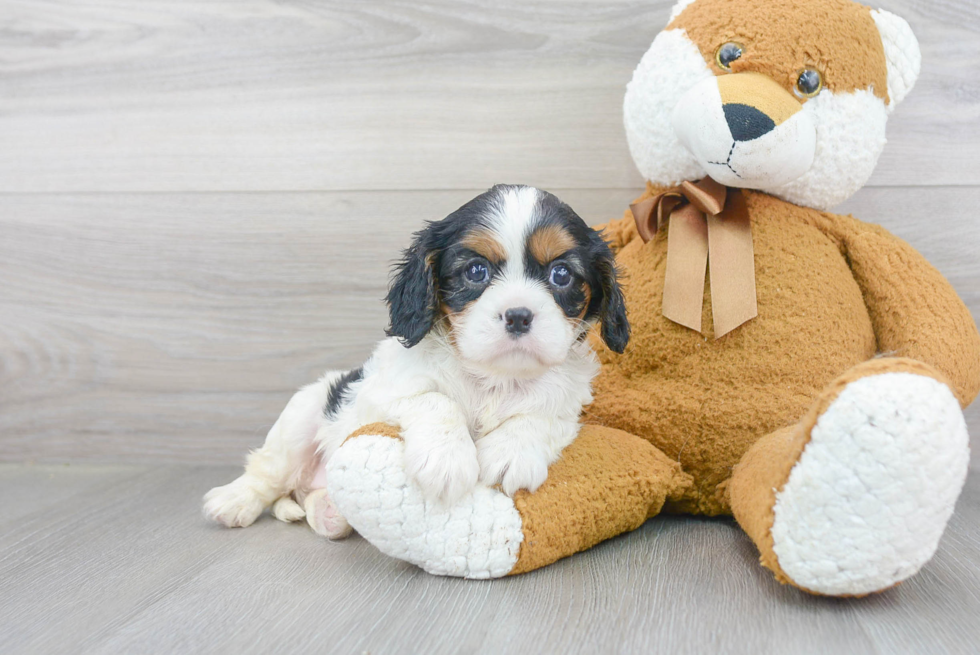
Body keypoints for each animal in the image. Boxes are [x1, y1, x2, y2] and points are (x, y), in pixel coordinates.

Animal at [204, 183, 632, 540]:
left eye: (561, 274)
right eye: (476, 271)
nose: (518, 316)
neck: (494, 377)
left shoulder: (567, 405)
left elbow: (541, 415)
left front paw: (512, 451)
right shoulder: (384, 391)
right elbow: (434, 399)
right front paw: (446, 459)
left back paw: (330, 512)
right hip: (302, 417)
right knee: (267, 471)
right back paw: (233, 501)